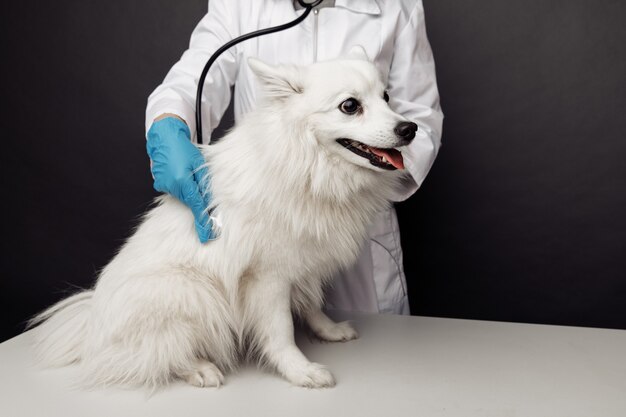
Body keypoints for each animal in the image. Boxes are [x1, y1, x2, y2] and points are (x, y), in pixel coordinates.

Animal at [31, 47, 416, 388]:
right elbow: (280, 331)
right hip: (193, 292)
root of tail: (91, 326)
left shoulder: (303, 262)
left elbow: (311, 304)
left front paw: (328, 330)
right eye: (350, 106)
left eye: (386, 97)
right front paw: (299, 370)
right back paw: (199, 368)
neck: (308, 167)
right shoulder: (268, 277)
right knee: (156, 354)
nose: (409, 128)